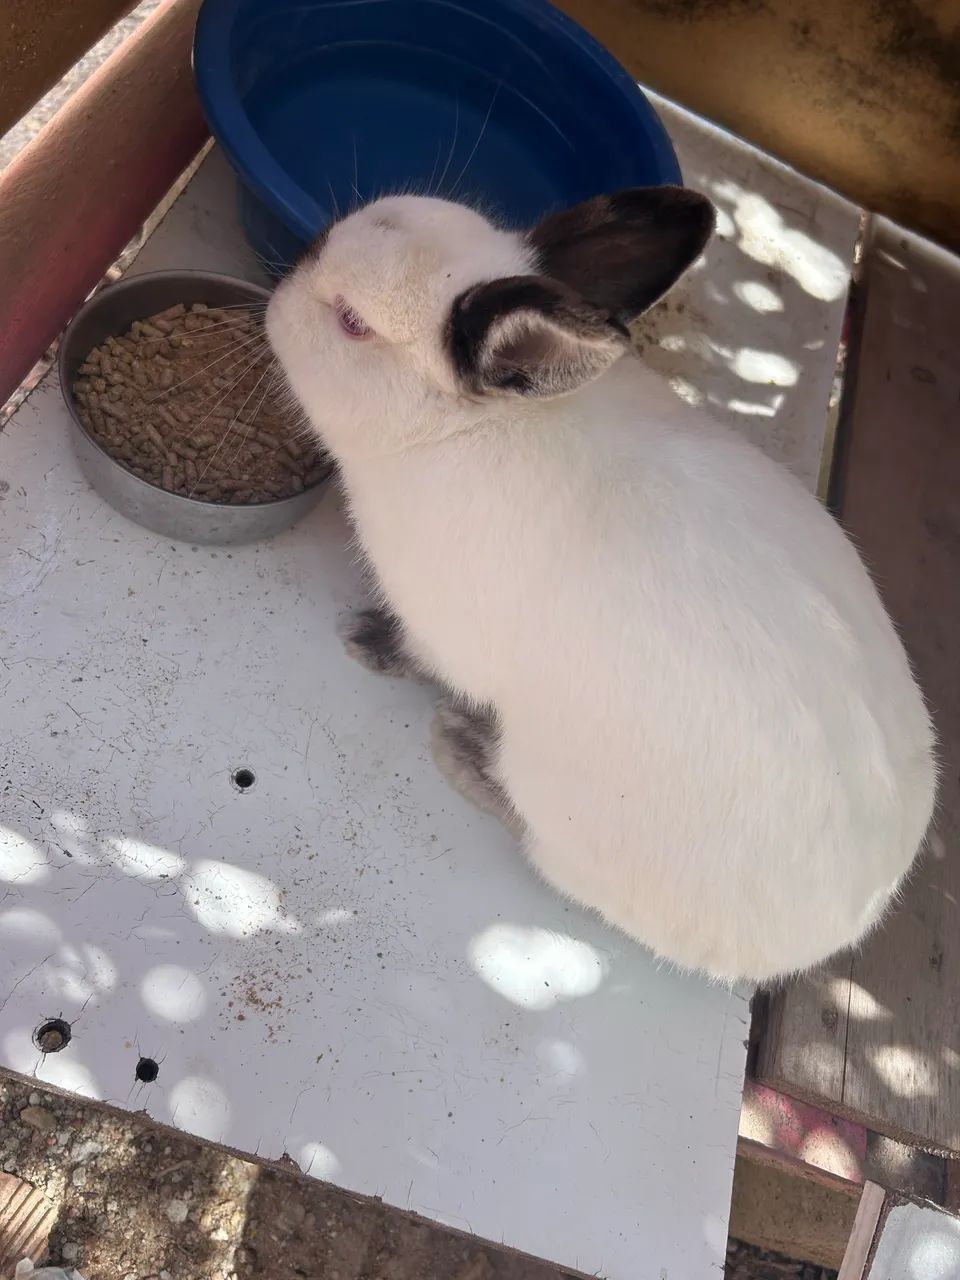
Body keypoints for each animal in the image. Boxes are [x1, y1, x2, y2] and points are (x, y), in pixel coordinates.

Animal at [266, 187, 936, 984]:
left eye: (352, 323)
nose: (281, 286)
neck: (459, 434)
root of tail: (833, 930)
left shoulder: (441, 632)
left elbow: (416, 655)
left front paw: (363, 642)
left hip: (553, 800)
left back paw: (460, 748)